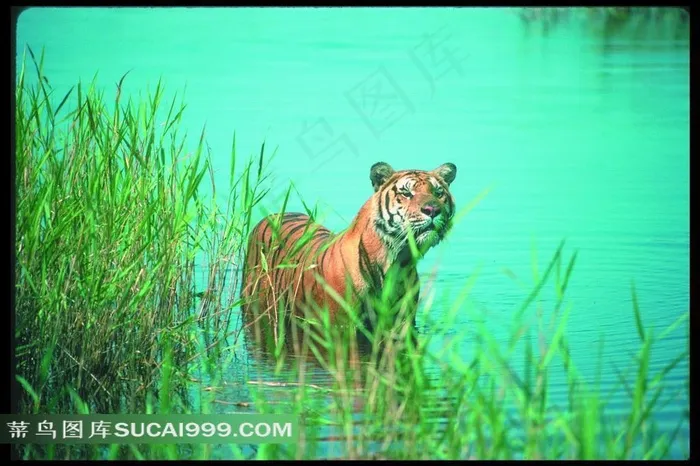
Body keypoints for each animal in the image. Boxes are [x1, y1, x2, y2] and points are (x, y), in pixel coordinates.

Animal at [239, 161, 457, 344]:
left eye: (438, 193)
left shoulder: (402, 323)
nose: (432, 210)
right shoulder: (342, 327)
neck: (397, 259)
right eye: (406, 193)